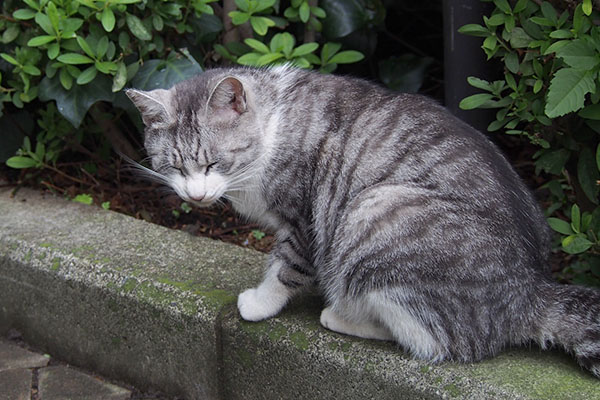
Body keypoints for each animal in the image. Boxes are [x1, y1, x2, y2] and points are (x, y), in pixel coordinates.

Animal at [126, 66, 600, 378]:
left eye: (213, 163)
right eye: (173, 166)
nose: (196, 195)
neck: (274, 122)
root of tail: (531, 289)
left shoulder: (303, 219)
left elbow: (286, 266)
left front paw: (260, 303)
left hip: (373, 209)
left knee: (440, 340)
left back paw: (341, 316)